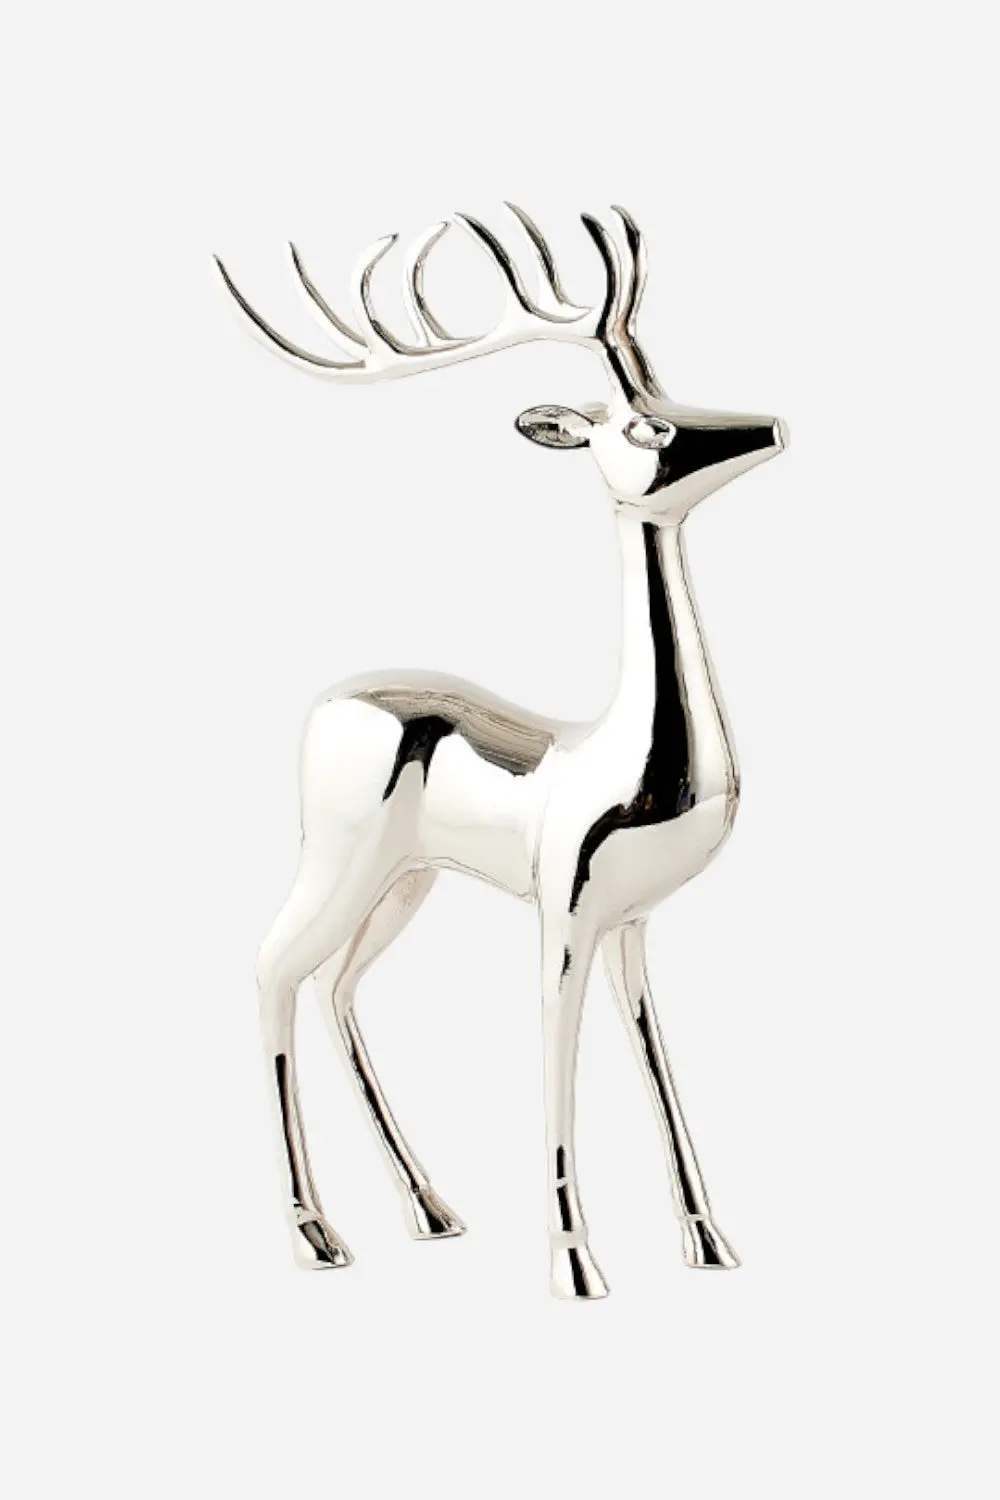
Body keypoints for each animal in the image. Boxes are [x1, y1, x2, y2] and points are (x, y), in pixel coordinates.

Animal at [216, 204, 788, 1299]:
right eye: (645, 425)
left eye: (672, 390)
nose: (769, 427)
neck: (628, 749)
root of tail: (327, 703)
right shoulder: (563, 905)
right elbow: (555, 1052)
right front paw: (574, 1262)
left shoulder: (631, 920)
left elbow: (654, 1054)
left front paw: (709, 1242)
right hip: (339, 858)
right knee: (270, 970)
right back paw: (317, 1235)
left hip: (406, 879)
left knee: (337, 986)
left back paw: (431, 1211)